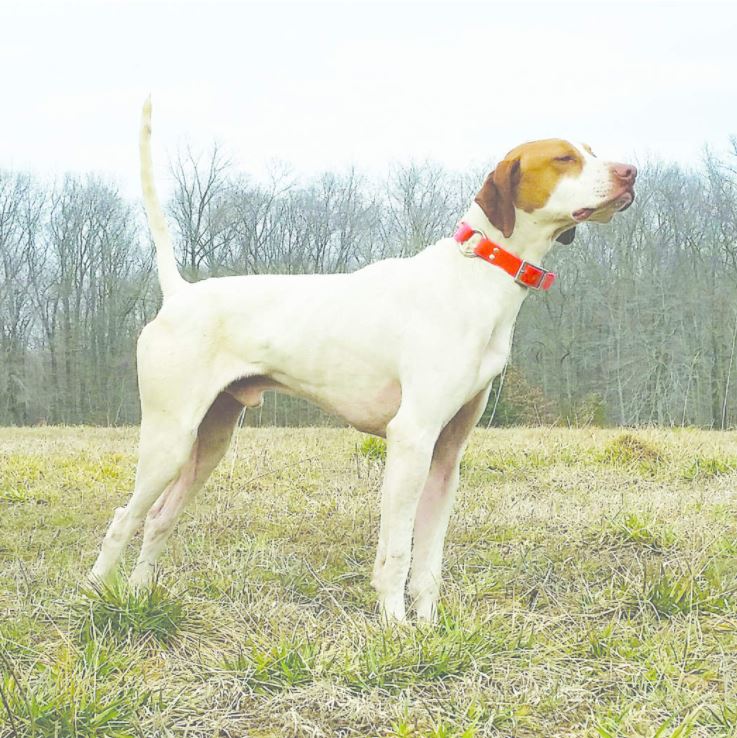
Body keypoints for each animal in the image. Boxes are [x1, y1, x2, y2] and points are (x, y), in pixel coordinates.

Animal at [90, 99, 632, 620]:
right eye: (564, 158)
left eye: (591, 150)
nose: (632, 172)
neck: (474, 277)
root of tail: (179, 294)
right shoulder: (411, 438)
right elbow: (396, 554)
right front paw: (395, 627)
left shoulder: (446, 455)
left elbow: (428, 563)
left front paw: (428, 627)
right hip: (168, 440)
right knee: (122, 519)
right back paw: (94, 598)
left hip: (210, 441)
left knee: (158, 520)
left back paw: (138, 596)